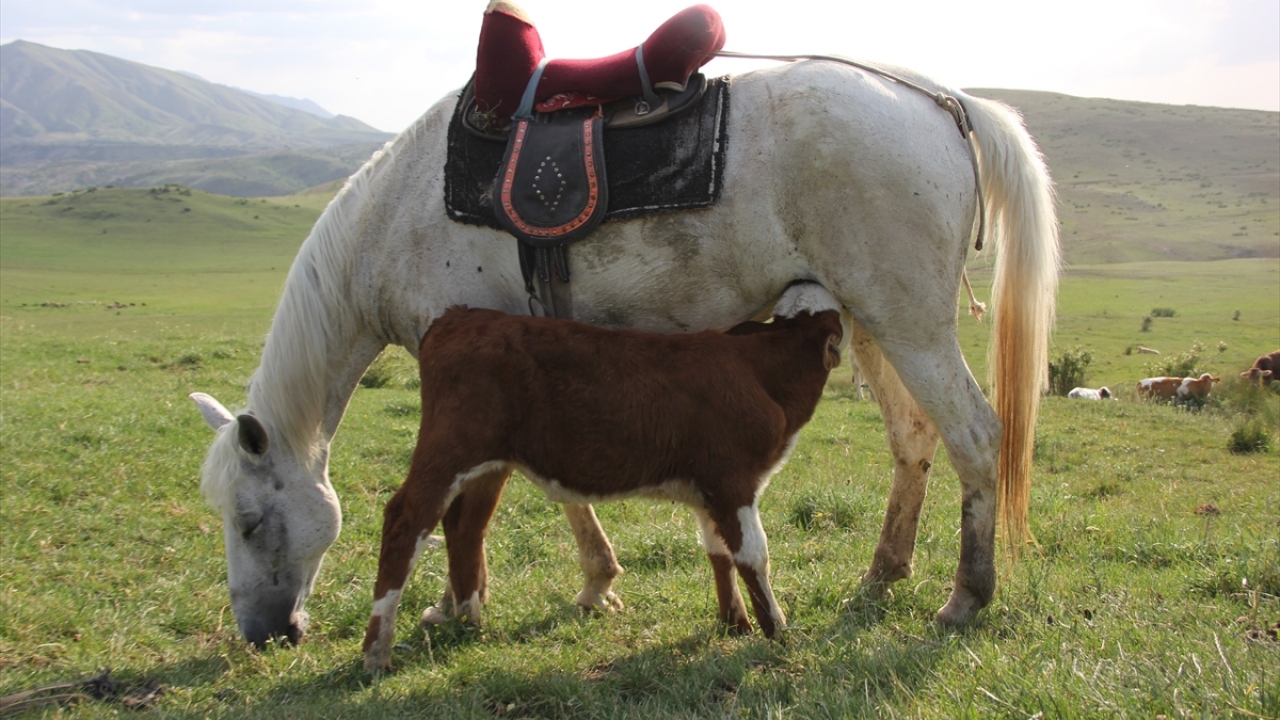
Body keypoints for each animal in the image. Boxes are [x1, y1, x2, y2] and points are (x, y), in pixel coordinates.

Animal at [362, 283, 846, 671]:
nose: (809, 284)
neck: (759, 372)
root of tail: (459, 316)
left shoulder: (709, 489)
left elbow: (718, 552)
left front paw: (735, 622)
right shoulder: (734, 481)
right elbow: (753, 556)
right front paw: (776, 628)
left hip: (488, 462)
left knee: (465, 524)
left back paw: (468, 619)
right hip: (448, 450)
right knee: (406, 520)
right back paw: (377, 650)